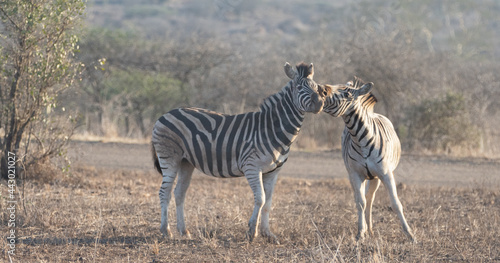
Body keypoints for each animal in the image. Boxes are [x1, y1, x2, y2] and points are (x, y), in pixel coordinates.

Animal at [150, 63, 326, 244]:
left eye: (317, 87)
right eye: (299, 87)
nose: (320, 103)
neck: (272, 128)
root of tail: (163, 115)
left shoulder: (273, 172)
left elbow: (268, 203)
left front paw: (268, 234)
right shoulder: (252, 167)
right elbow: (261, 198)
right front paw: (252, 232)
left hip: (186, 162)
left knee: (179, 193)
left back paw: (184, 231)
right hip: (170, 159)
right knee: (164, 193)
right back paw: (166, 231)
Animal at [318, 77, 416, 243]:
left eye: (346, 94)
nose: (321, 89)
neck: (360, 139)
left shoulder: (386, 174)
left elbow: (396, 203)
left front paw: (410, 234)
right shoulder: (356, 174)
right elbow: (360, 203)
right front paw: (360, 233)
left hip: (375, 177)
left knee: (370, 198)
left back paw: (371, 229)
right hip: (357, 176)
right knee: (365, 199)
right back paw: (368, 229)